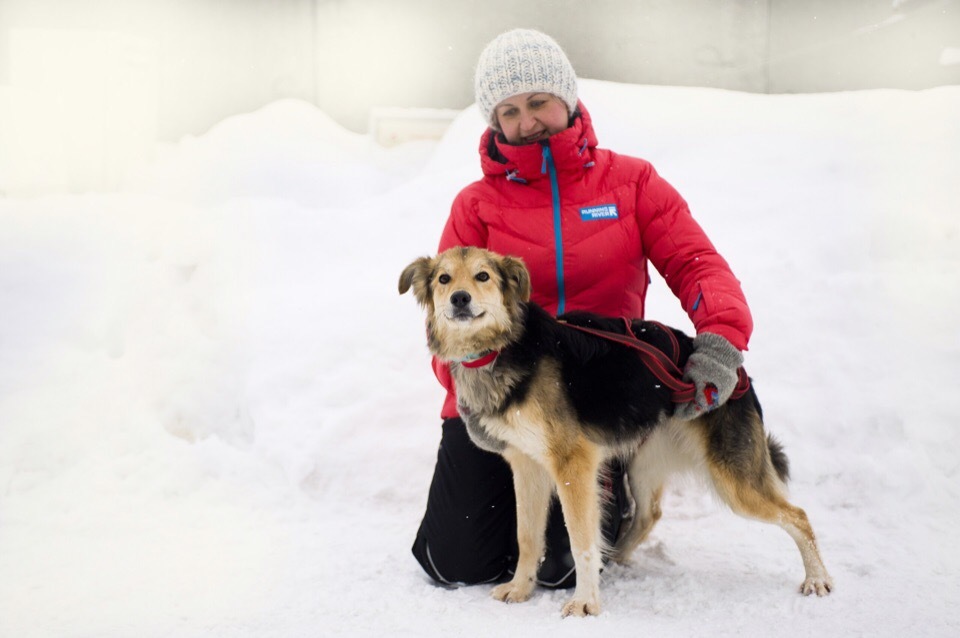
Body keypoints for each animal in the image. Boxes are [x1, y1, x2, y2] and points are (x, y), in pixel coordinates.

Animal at [398, 248, 832, 616]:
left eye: (482, 276)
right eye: (444, 279)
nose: (459, 299)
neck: (502, 349)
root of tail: (740, 376)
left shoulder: (573, 466)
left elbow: (580, 542)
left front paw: (585, 603)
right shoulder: (527, 465)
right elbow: (527, 537)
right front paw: (521, 589)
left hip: (733, 479)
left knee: (798, 515)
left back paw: (818, 579)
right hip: (642, 464)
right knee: (649, 514)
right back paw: (619, 555)